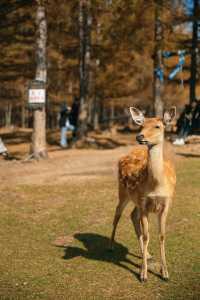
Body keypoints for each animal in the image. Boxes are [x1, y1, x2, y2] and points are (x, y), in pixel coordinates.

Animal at [110, 107, 176, 282]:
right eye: (141, 125)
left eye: (158, 126)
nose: (139, 136)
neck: (157, 186)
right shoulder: (145, 204)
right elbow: (147, 236)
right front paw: (143, 274)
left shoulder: (166, 203)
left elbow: (161, 235)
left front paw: (165, 273)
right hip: (123, 192)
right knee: (118, 213)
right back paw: (111, 245)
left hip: (136, 201)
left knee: (133, 215)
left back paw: (146, 254)